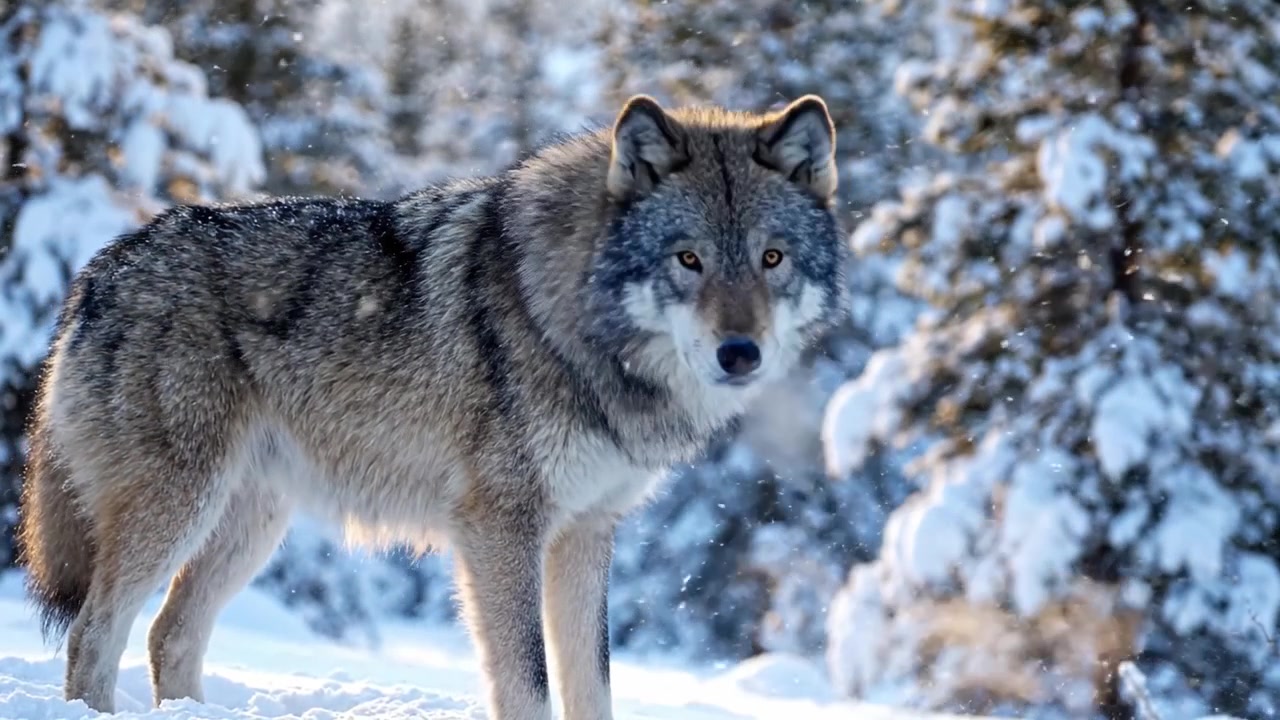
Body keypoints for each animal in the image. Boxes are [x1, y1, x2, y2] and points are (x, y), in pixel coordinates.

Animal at [15, 93, 848, 719]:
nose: (740, 354)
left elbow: (593, 686)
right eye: (689, 260)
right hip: (178, 508)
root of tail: (101, 269)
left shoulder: (587, 532)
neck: (573, 325)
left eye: (772, 259)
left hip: (251, 523)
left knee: (170, 635)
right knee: (94, 635)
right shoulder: (500, 528)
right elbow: (528, 683)